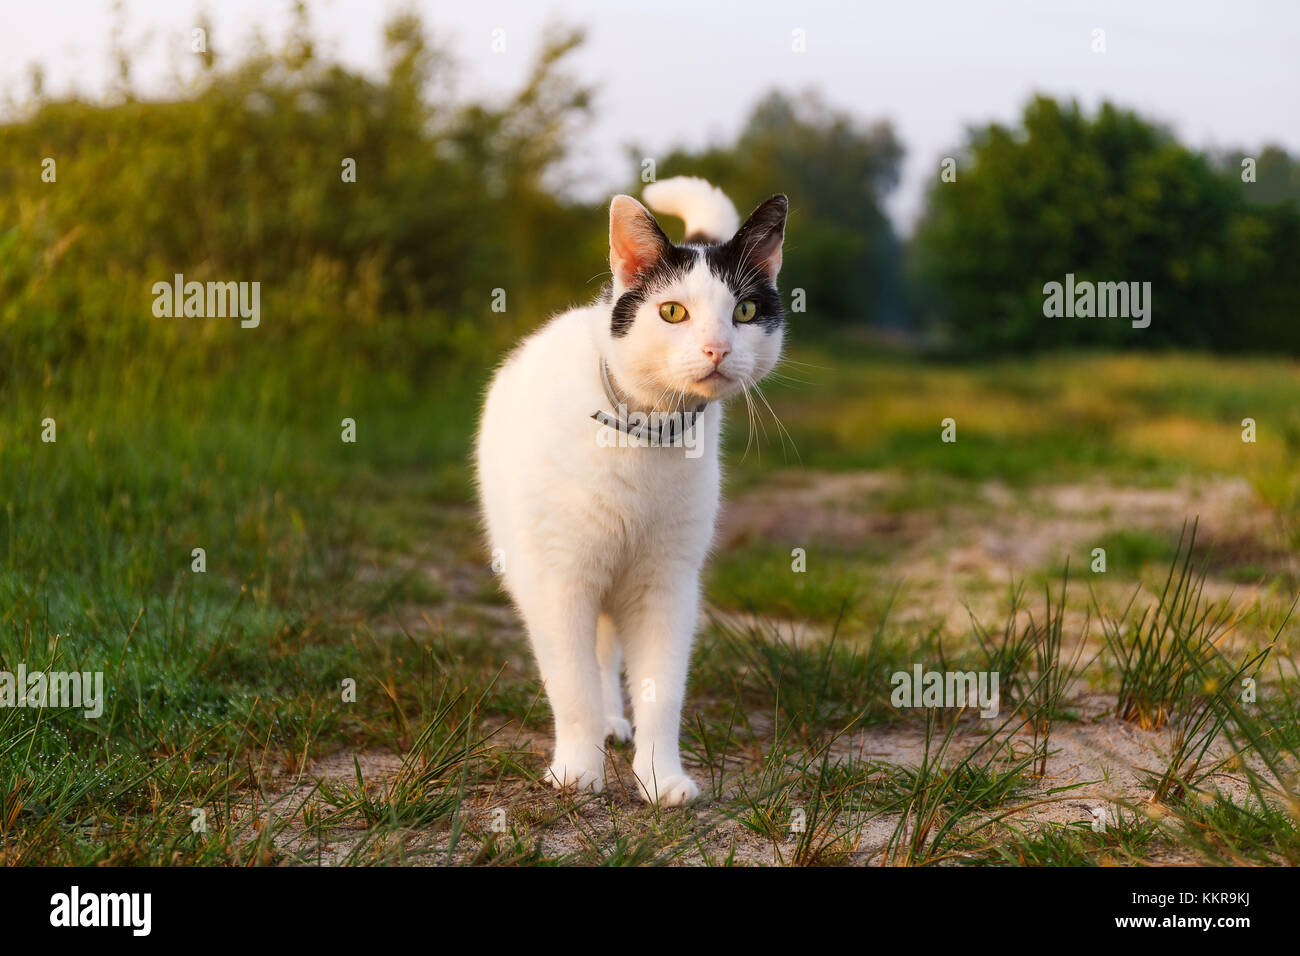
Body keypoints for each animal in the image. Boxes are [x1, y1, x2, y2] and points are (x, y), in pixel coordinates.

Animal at [475, 175, 785, 806]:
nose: (718, 349)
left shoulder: (665, 584)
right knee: (590, 665)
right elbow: (571, 689)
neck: (647, 431)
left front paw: (660, 778)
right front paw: (578, 771)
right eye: (673, 312)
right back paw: (604, 729)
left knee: (607, 652)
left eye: (743, 311)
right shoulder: (560, 581)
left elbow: (661, 691)